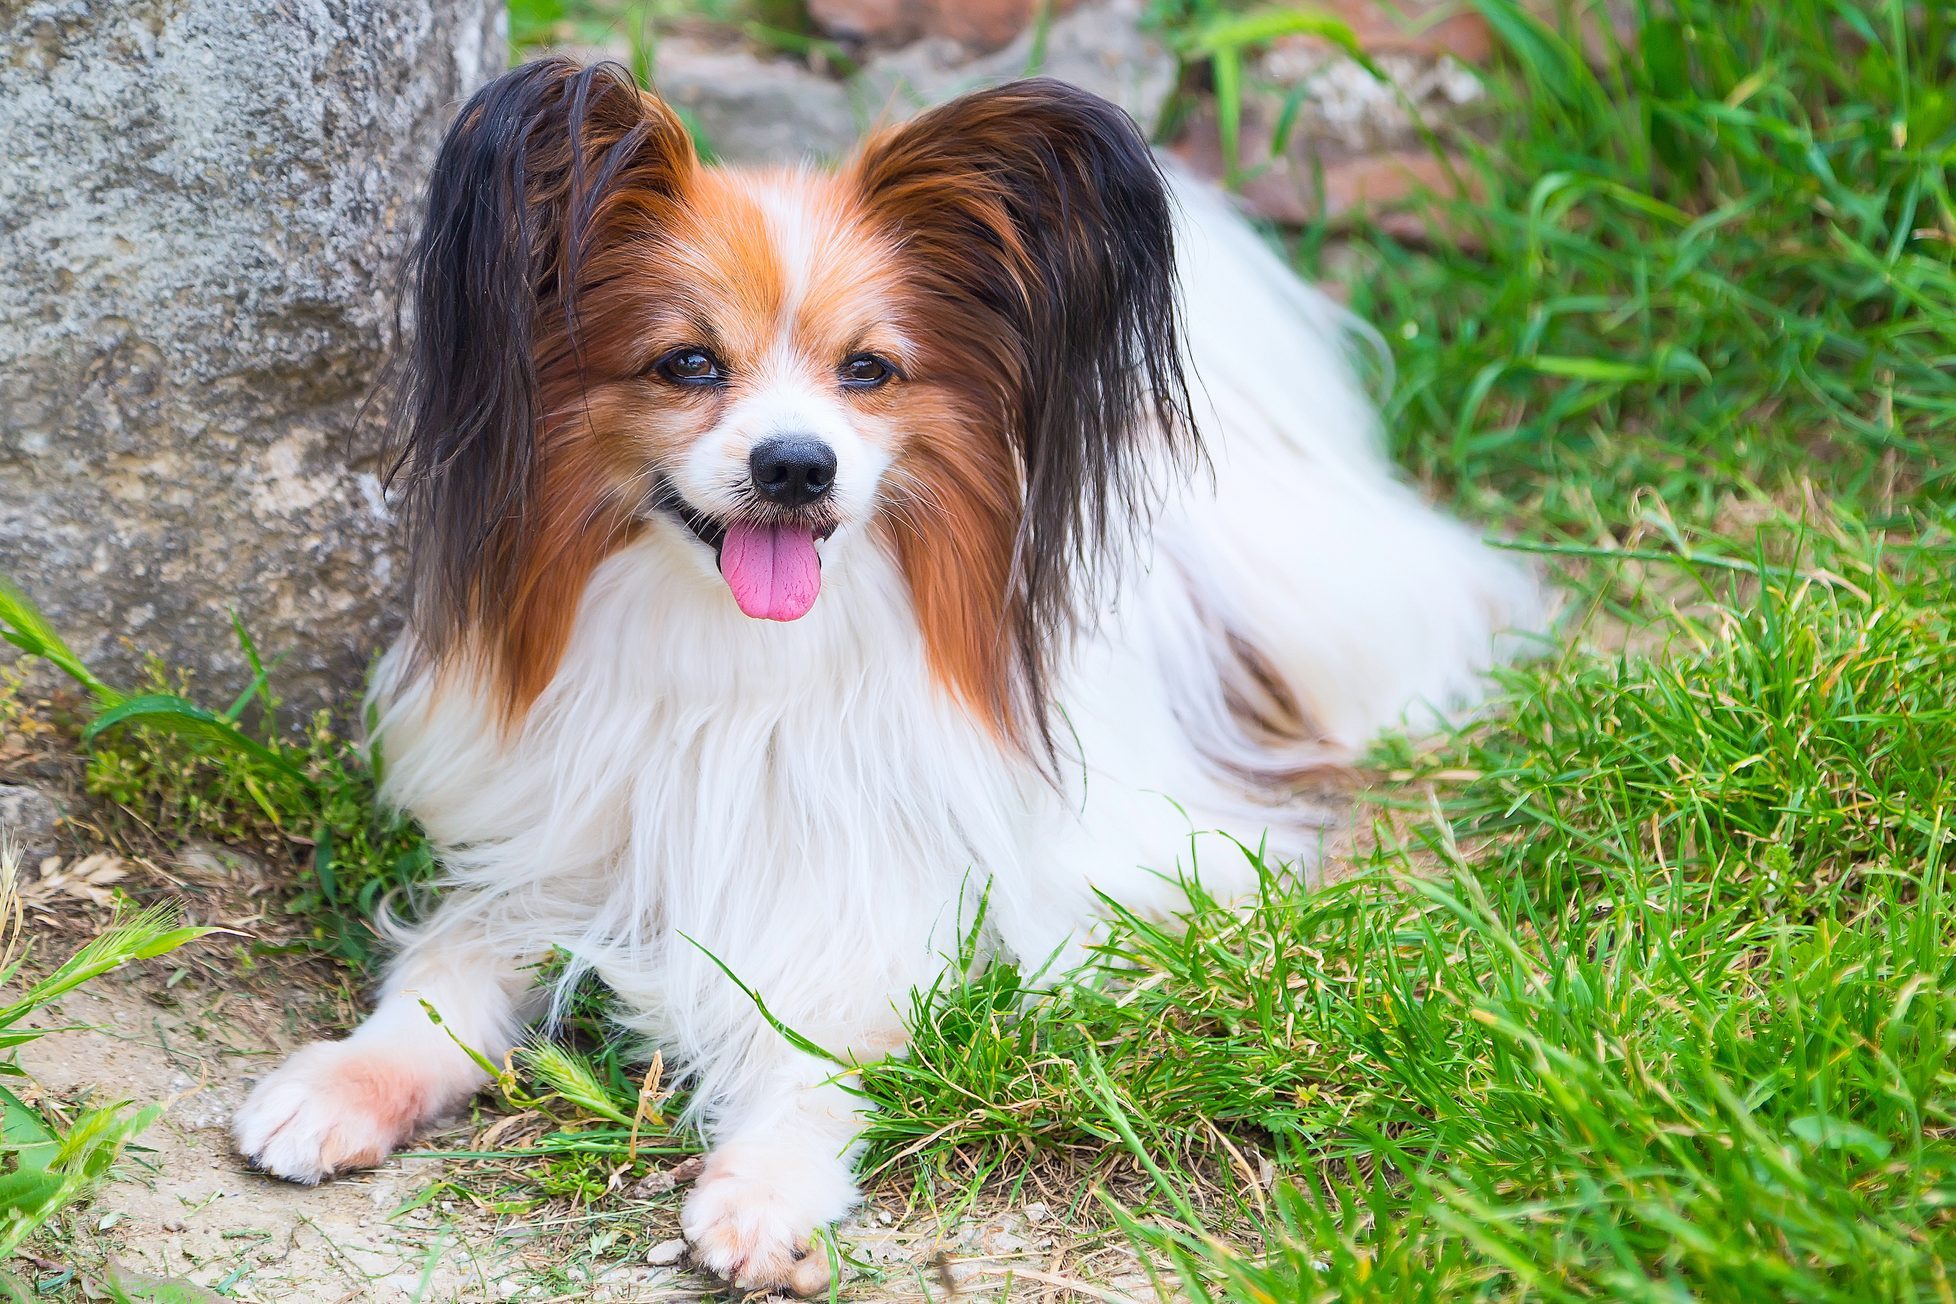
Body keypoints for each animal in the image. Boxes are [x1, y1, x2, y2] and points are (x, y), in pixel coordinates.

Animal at [232, 58, 1541, 1298]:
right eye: (686, 363)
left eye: (869, 371)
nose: (796, 464)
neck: (738, 658)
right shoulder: (561, 846)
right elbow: (446, 972)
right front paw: (347, 1079)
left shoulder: (888, 897)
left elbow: (819, 1044)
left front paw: (764, 1189)